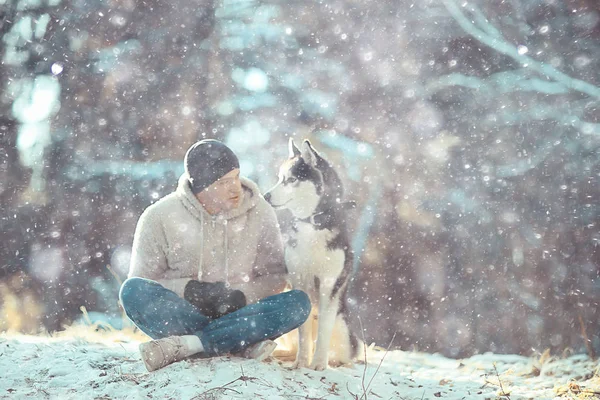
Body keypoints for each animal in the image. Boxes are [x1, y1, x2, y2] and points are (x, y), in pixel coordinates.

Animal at [264, 139, 358, 370]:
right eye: (279, 178)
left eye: (291, 179)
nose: (266, 196)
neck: (312, 225)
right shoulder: (299, 279)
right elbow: (303, 331)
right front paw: (301, 362)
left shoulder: (329, 282)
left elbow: (323, 329)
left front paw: (317, 364)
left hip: (342, 326)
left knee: (345, 354)